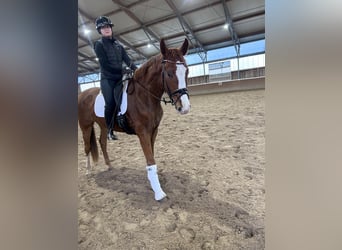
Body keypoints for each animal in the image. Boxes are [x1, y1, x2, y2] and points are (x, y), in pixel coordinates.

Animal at [78, 38, 190, 200]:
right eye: (169, 73)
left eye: (186, 71)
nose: (184, 107)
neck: (144, 96)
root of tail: (82, 94)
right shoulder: (143, 132)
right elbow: (150, 160)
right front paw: (159, 193)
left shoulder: (153, 131)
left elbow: (152, 156)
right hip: (85, 126)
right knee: (87, 146)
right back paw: (88, 171)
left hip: (104, 125)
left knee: (102, 142)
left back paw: (109, 166)